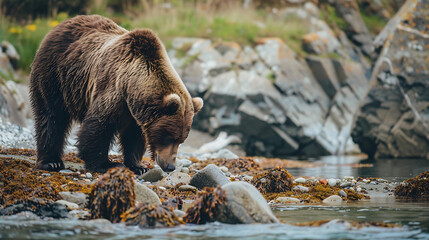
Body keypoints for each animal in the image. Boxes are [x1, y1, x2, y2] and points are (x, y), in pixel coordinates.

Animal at [29, 15, 202, 173]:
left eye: (181, 140)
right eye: (169, 137)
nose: (170, 166)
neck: (132, 89)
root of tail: (60, 25)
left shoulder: (135, 113)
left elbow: (134, 137)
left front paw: (138, 166)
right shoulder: (113, 90)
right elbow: (98, 126)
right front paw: (106, 164)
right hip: (55, 74)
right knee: (51, 116)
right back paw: (51, 162)